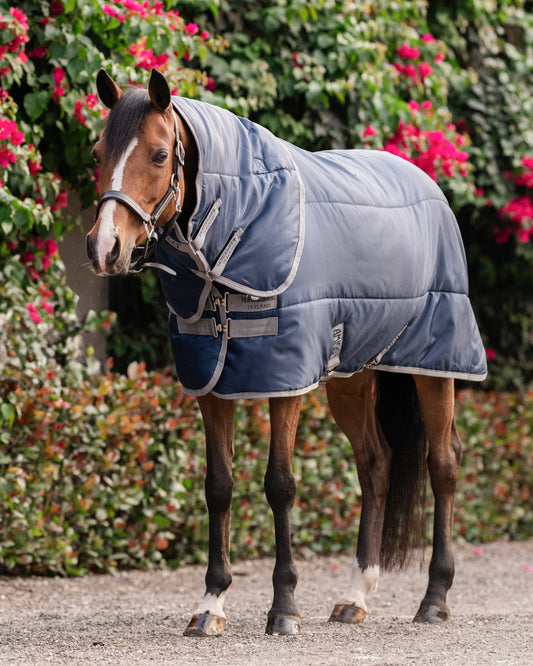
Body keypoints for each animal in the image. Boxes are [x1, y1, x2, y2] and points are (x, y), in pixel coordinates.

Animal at [86, 68, 486, 637]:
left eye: (161, 155)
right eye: (98, 152)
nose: (105, 249)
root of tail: (428, 186)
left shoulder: (287, 382)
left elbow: (280, 484)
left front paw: (284, 608)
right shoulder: (211, 385)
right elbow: (219, 486)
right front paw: (211, 604)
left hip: (436, 363)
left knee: (444, 463)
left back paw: (434, 598)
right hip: (351, 376)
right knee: (376, 463)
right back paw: (355, 596)